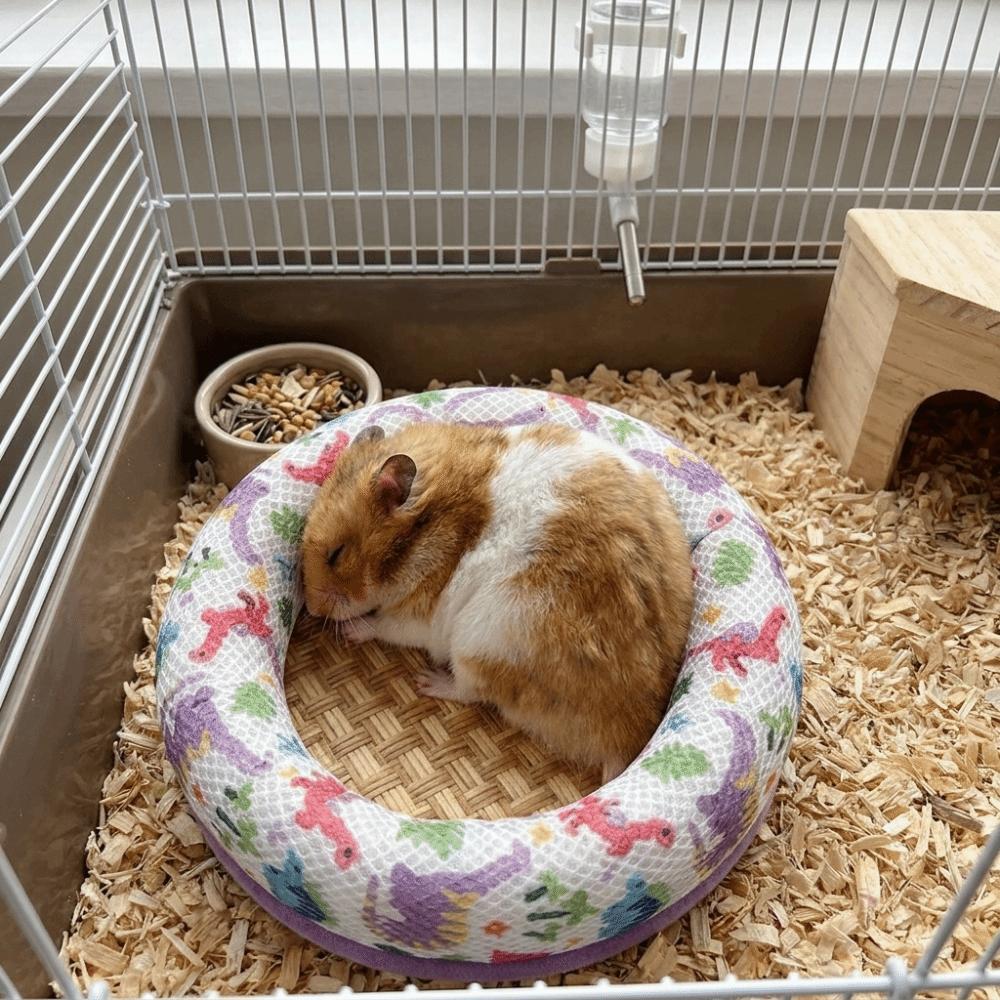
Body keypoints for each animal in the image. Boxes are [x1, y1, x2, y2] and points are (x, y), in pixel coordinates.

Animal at [301, 420, 694, 783]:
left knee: (470, 691)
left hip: (479, 645)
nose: (312, 610)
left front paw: (351, 630)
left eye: (336, 555)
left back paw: (427, 681)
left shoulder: (418, 617)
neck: (424, 526)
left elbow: (383, 625)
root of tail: (625, 735)